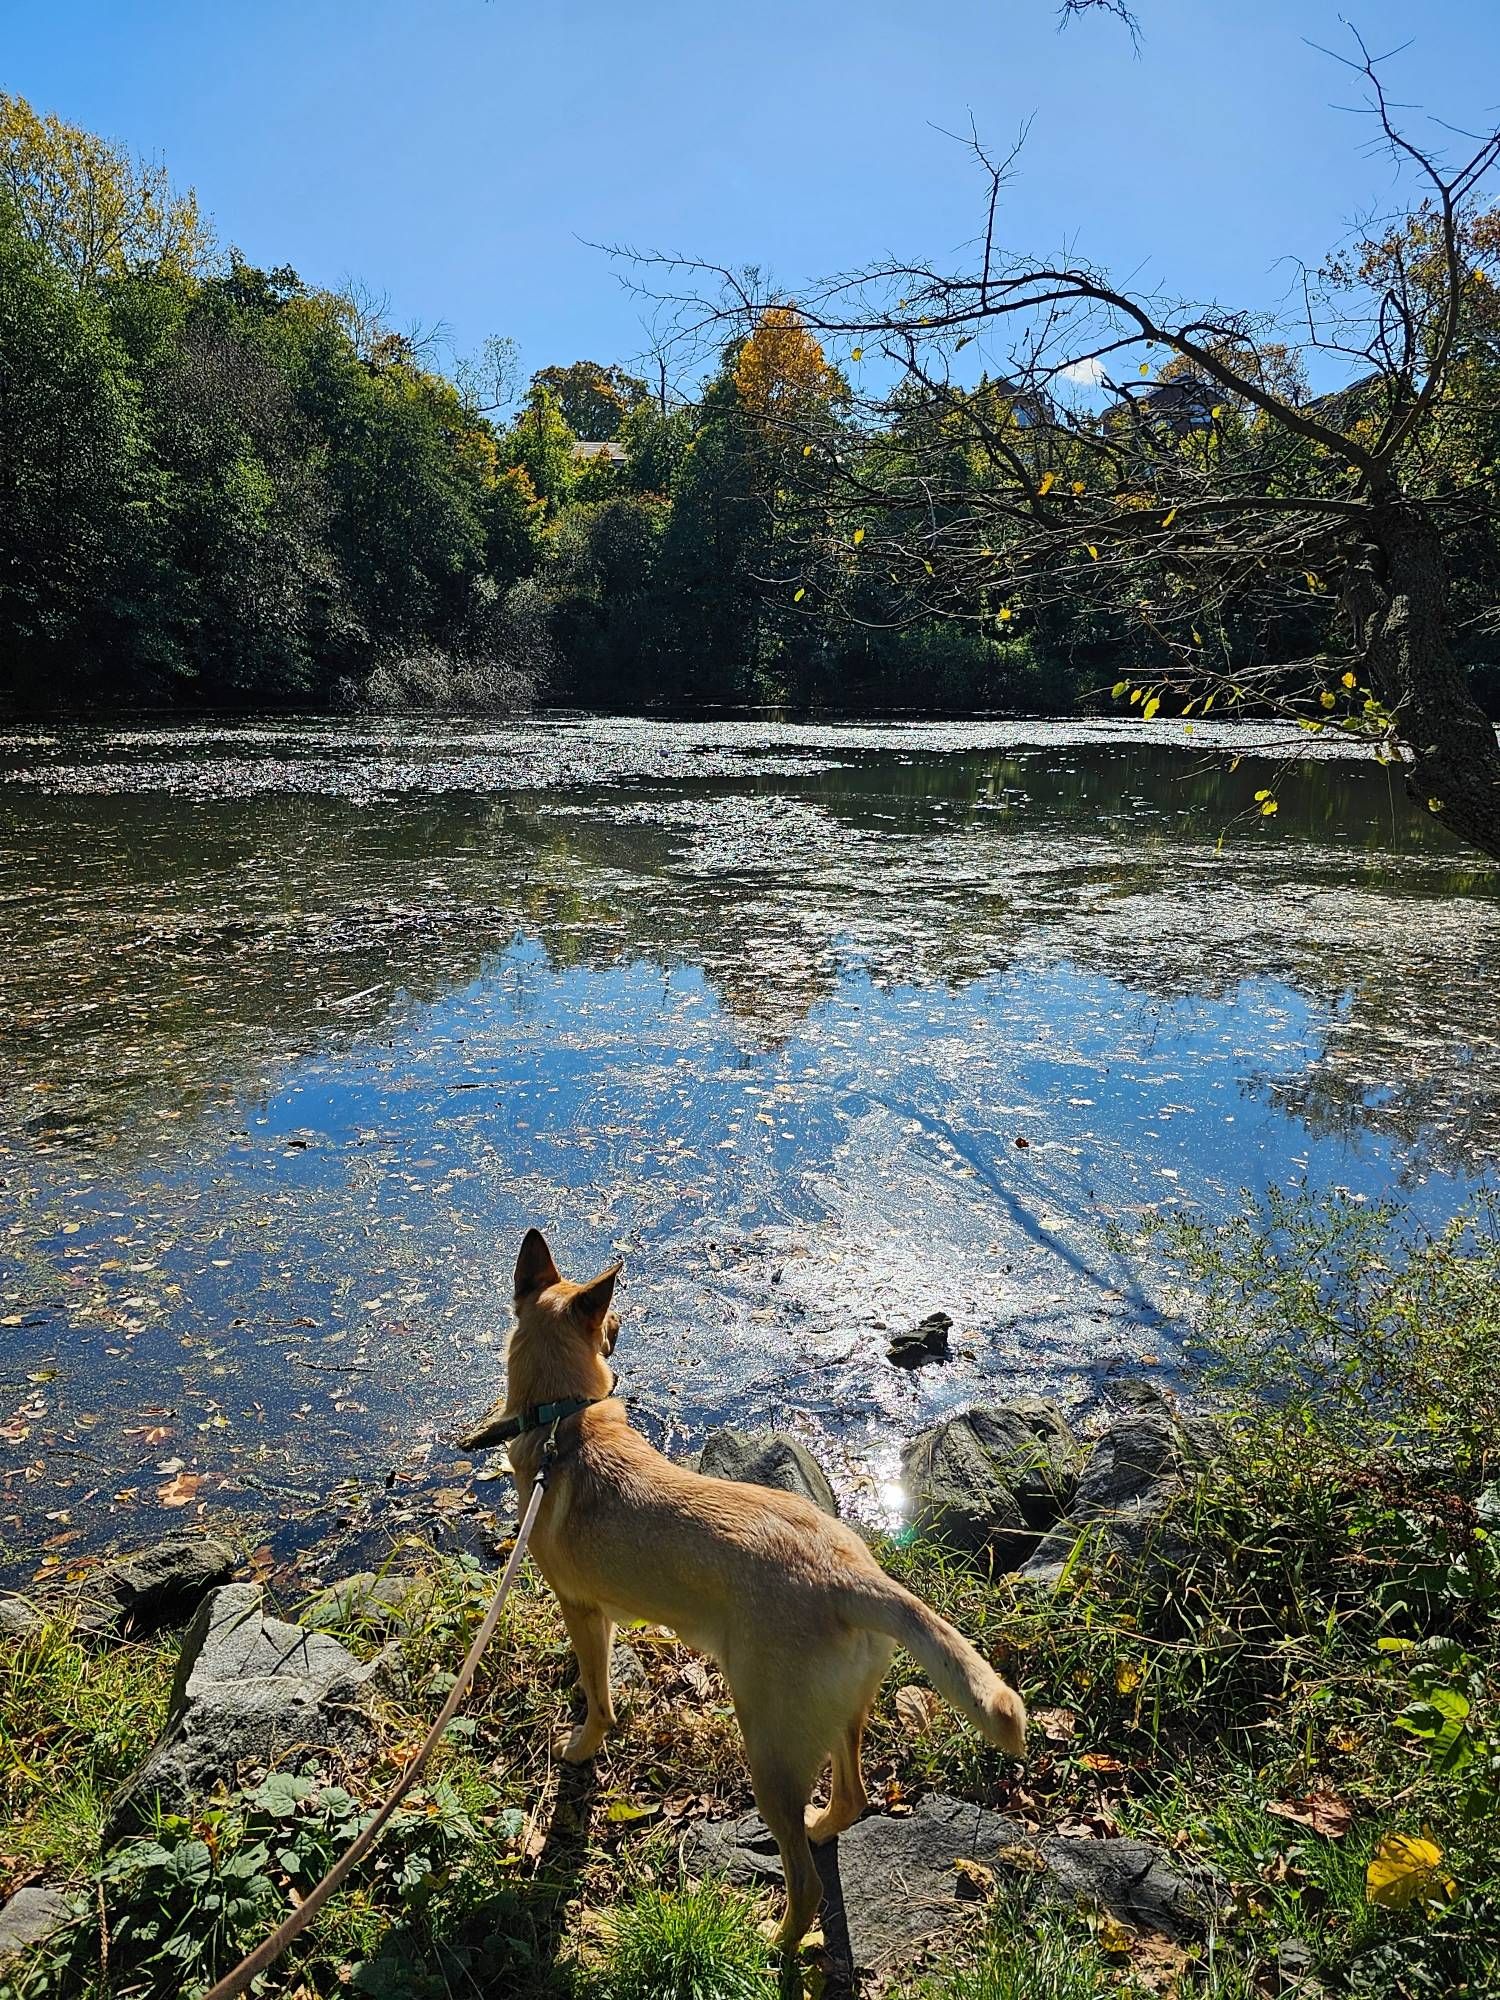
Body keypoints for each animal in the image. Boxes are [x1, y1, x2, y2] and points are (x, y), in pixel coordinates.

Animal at [464, 1224, 1032, 1944]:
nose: (621, 1329)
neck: (562, 1419)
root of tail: (849, 1576)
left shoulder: (581, 1608)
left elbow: (597, 1693)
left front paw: (583, 1742)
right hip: (834, 1718)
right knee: (851, 1797)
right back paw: (822, 1829)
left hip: (769, 1748)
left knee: (807, 1882)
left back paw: (775, 1942)